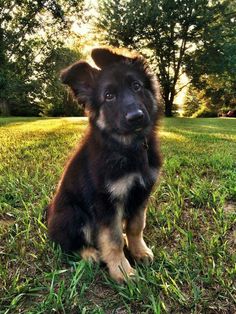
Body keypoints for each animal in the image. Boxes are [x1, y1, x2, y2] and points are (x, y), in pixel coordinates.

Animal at [47, 47, 162, 284]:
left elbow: (136, 226)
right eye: (109, 96)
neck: (129, 147)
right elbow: (113, 238)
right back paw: (90, 253)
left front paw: (139, 251)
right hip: (73, 214)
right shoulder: (106, 202)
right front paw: (122, 270)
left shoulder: (141, 193)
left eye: (136, 86)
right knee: (65, 243)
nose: (136, 117)